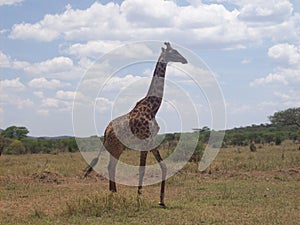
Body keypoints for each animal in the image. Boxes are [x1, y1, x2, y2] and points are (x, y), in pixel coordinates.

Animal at [83, 42, 188, 207]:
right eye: (174, 52)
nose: (184, 60)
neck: (153, 108)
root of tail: (106, 131)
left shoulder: (151, 140)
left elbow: (162, 166)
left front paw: (161, 200)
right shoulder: (145, 140)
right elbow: (143, 169)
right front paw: (139, 197)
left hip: (117, 147)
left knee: (111, 166)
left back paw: (113, 193)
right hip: (116, 147)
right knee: (111, 167)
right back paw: (114, 193)